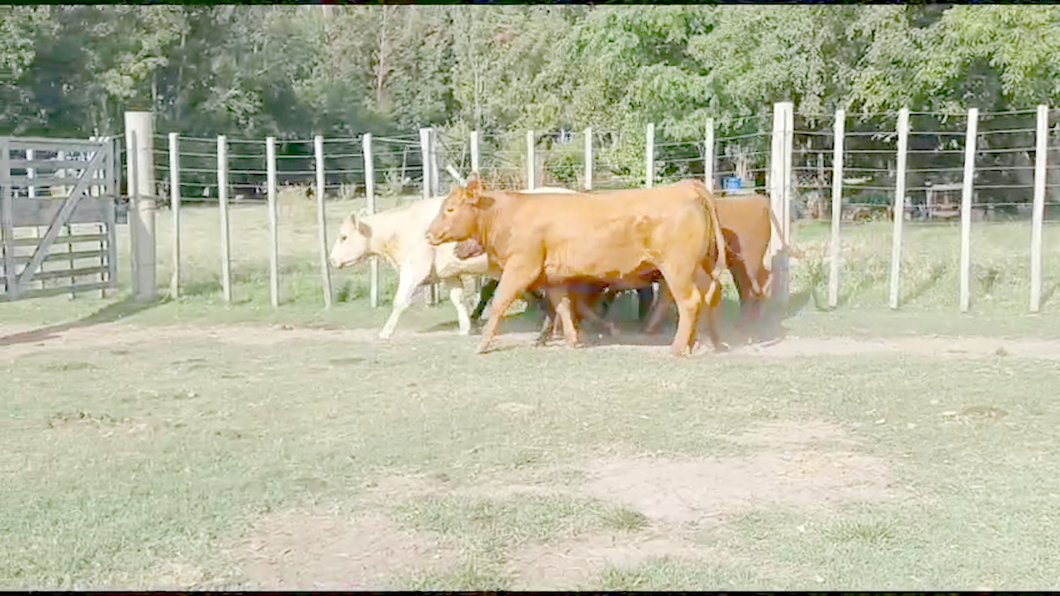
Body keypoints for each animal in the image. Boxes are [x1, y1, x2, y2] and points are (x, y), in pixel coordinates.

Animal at [330, 185, 580, 337]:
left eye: (343, 237)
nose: (331, 260)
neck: (403, 227)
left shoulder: (414, 269)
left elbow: (400, 301)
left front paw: (386, 332)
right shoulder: (448, 274)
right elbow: (458, 299)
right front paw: (465, 327)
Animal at [421, 173, 729, 354]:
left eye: (450, 209)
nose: (428, 234)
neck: (510, 214)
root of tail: (687, 187)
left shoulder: (521, 266)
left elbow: (500, 302)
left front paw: (482, 344)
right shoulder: (552, 277)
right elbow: (563, 305)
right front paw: (573, 339)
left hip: (677, 268)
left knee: (689, 301)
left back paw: (678, 347)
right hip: (697, 267)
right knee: (711, 293)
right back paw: (710, 342)